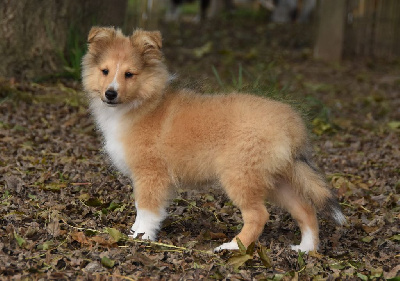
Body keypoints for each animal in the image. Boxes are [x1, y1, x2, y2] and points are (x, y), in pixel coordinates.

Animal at [81, 26, 344, 250]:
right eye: (105, 71)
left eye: (129, 74)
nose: (110, 93)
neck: (143, 103)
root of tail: (291, 124)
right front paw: (134, 233)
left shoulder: (150, 174)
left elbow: (145, 209)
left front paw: (141, 236)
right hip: (275, 178)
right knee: (306, 209)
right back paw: (306, 249)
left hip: (240, 175)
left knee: (259, 215)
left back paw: (232, 248)